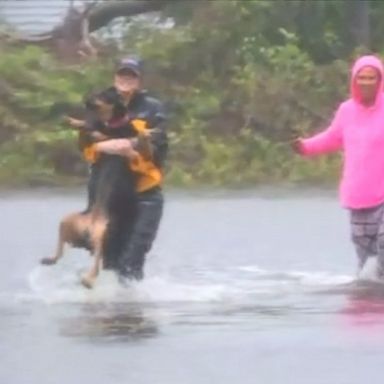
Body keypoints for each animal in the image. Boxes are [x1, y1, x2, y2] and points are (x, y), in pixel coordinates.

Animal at [40, 90, 142, 288]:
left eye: (103, 94)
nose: (85, 99)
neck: (114, 122)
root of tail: (89, 227)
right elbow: (89, 127)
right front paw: (73, 121)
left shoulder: (118, 138)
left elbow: (101, 133)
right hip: (67, 221)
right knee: (61, 250)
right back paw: (51, 259)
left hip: (104, 237)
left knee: (96, 263)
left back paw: (88, 280)